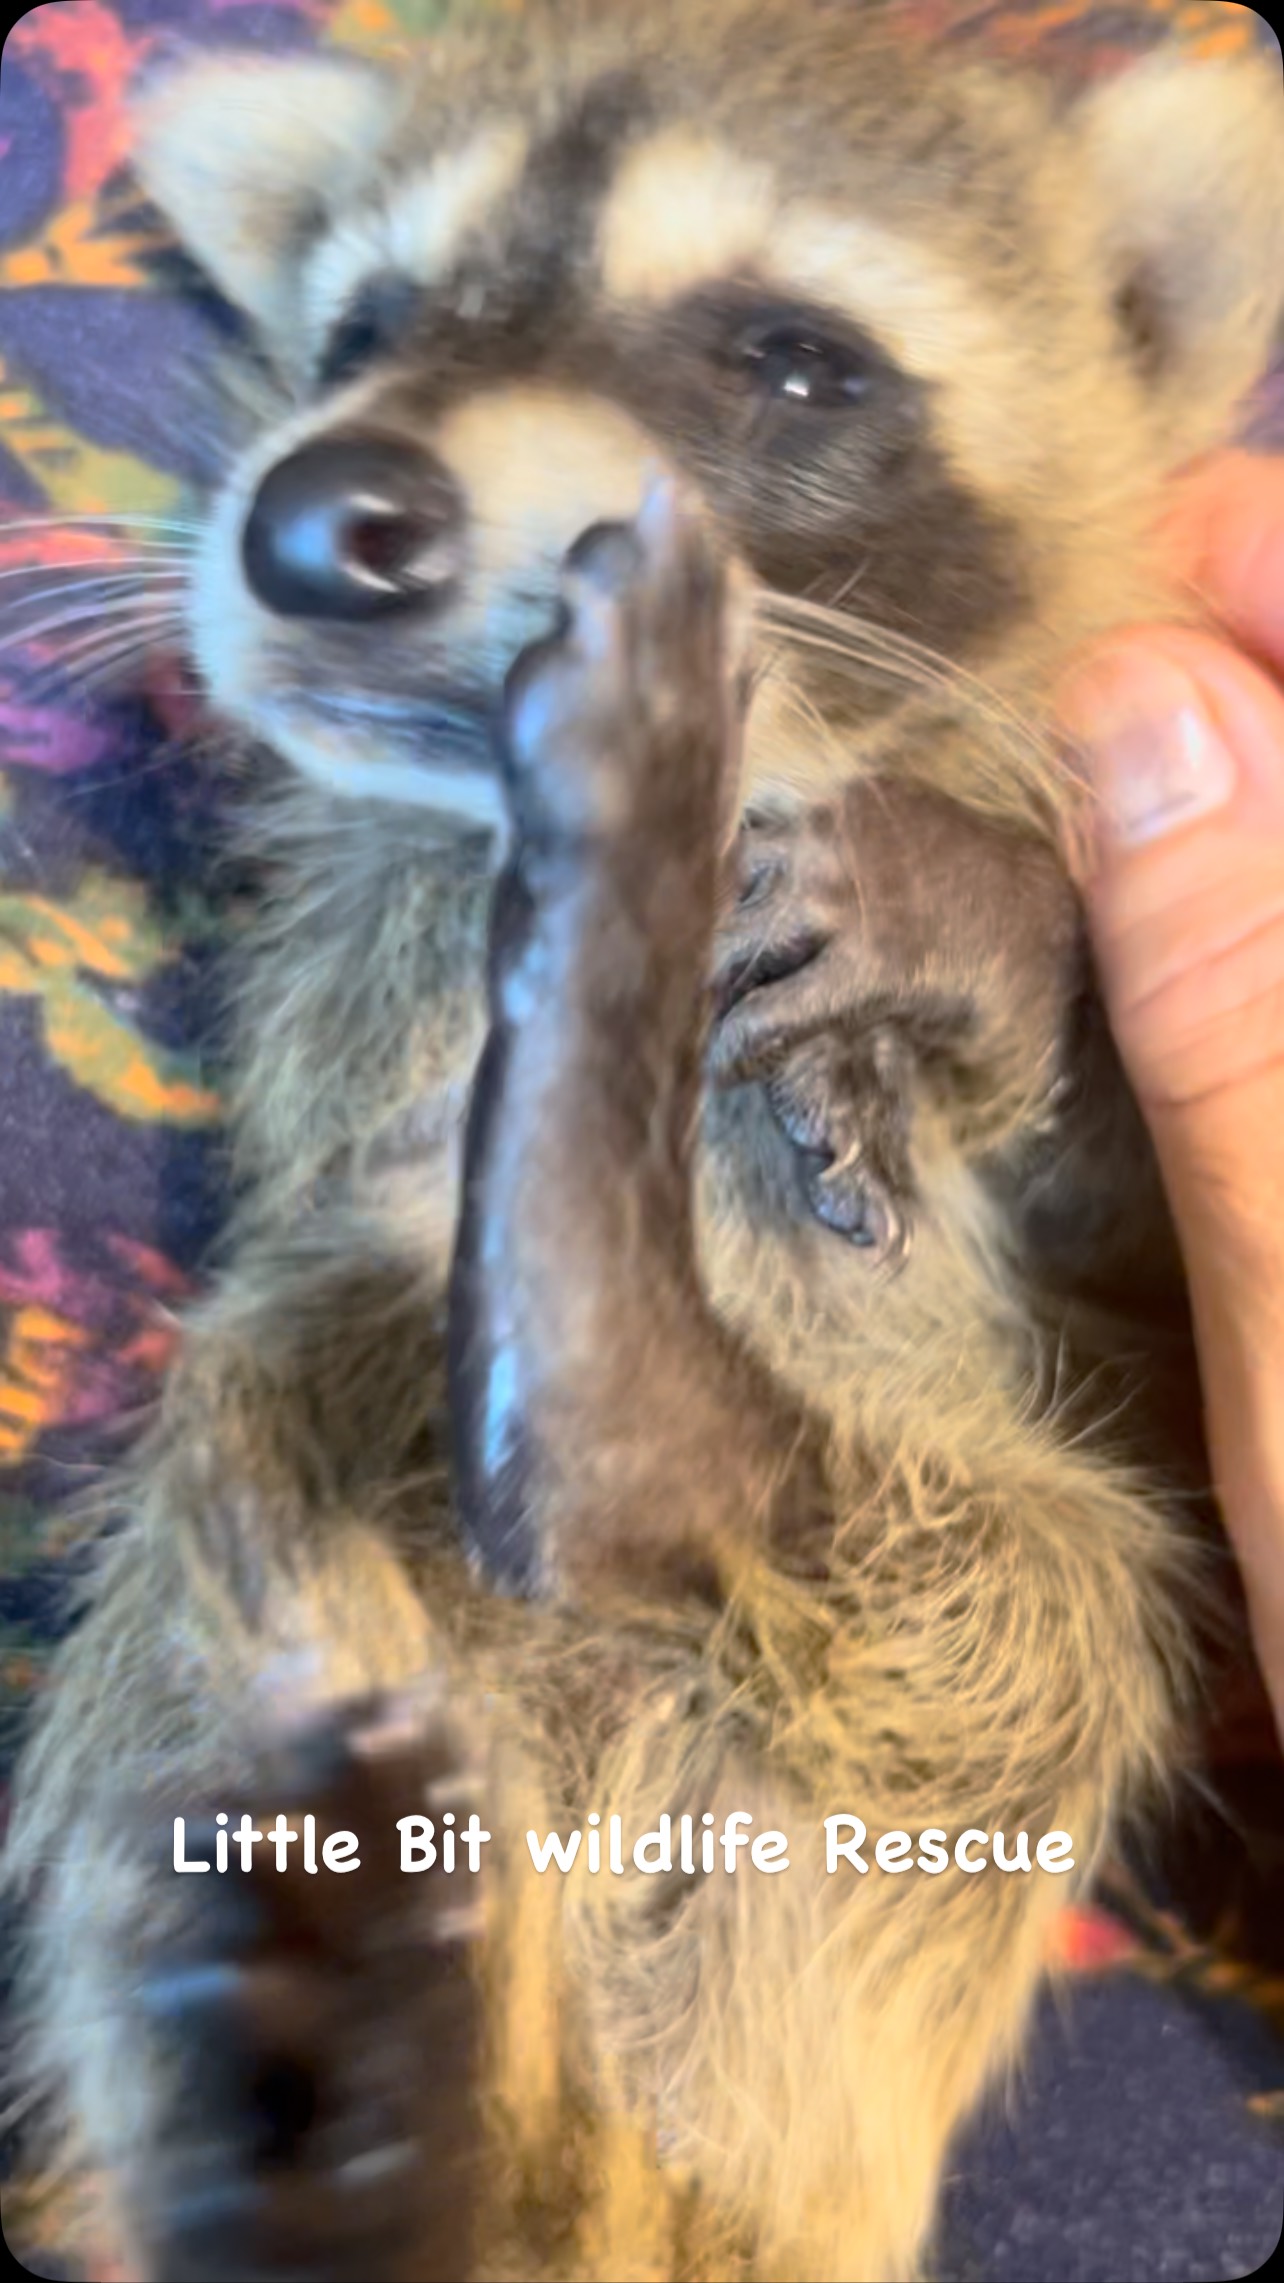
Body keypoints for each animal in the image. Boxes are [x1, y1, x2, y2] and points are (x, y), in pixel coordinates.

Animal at [5, 4, 1284, 2279]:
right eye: (367, 326)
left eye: (791, 361)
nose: (319, 514)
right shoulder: (358, 963)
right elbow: (327, 1131)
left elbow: (1130, 1265)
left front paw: (987, 918)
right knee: (242, 1482)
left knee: (1031, 1604)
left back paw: (638, 1411)